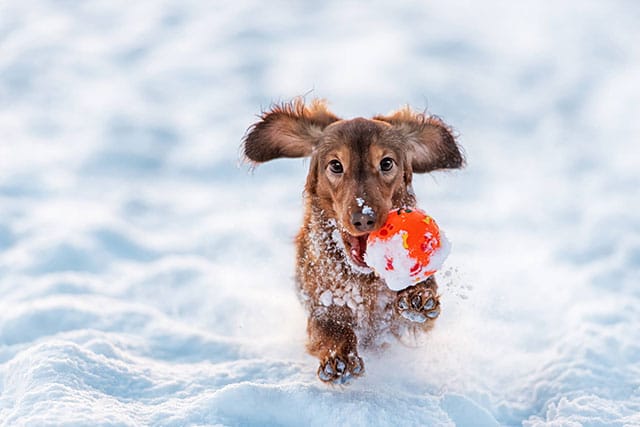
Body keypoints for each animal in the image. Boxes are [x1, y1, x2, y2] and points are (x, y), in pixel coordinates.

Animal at [242, 99, 462, 384]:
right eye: (336, 165)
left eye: (387, 163)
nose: (364, 218)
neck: (363, 279)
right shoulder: (322, 300)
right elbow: (329, 326)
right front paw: (339, 358)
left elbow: (419, 305)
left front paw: (417, 297)